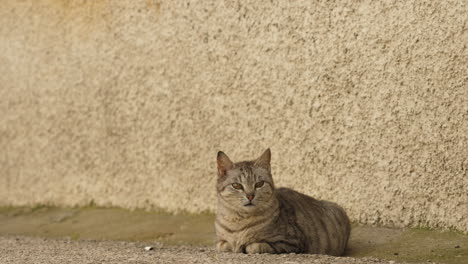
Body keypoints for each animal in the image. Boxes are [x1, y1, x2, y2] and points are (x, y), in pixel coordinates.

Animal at [214, 147, 350, 255]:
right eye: (237, 185)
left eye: (259, 184)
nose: (250, 196)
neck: (239, 222)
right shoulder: (221, 241)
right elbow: (222, 244)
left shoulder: (291, 242)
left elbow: (256, 246)